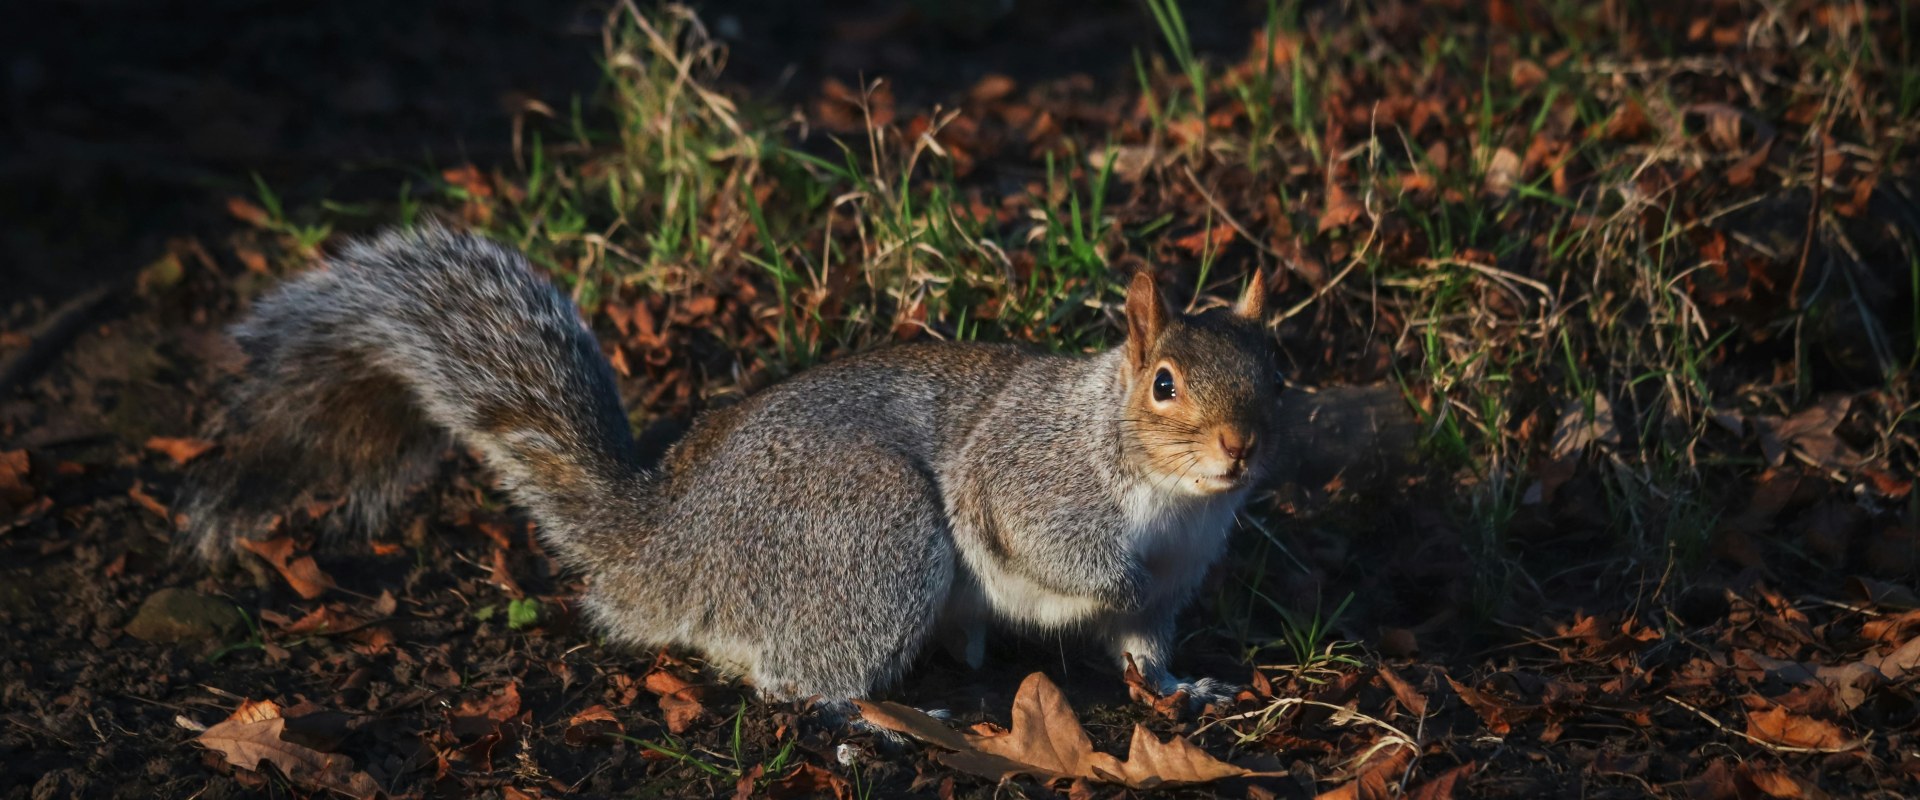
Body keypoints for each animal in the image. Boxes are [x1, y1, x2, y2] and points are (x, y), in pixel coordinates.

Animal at [183, 224, 1290, 705]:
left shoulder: (1180, 578)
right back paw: (889, 717)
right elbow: (1050, 545)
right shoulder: (1031, 473)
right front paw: (1107, 582)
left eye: (1279, 369)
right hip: (872, 531)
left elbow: (1146, 644)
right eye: (1162, 383)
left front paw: (1187, 687)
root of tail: (666, 548)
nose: (1241, 450)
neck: (1169, 501)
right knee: (795, 680)